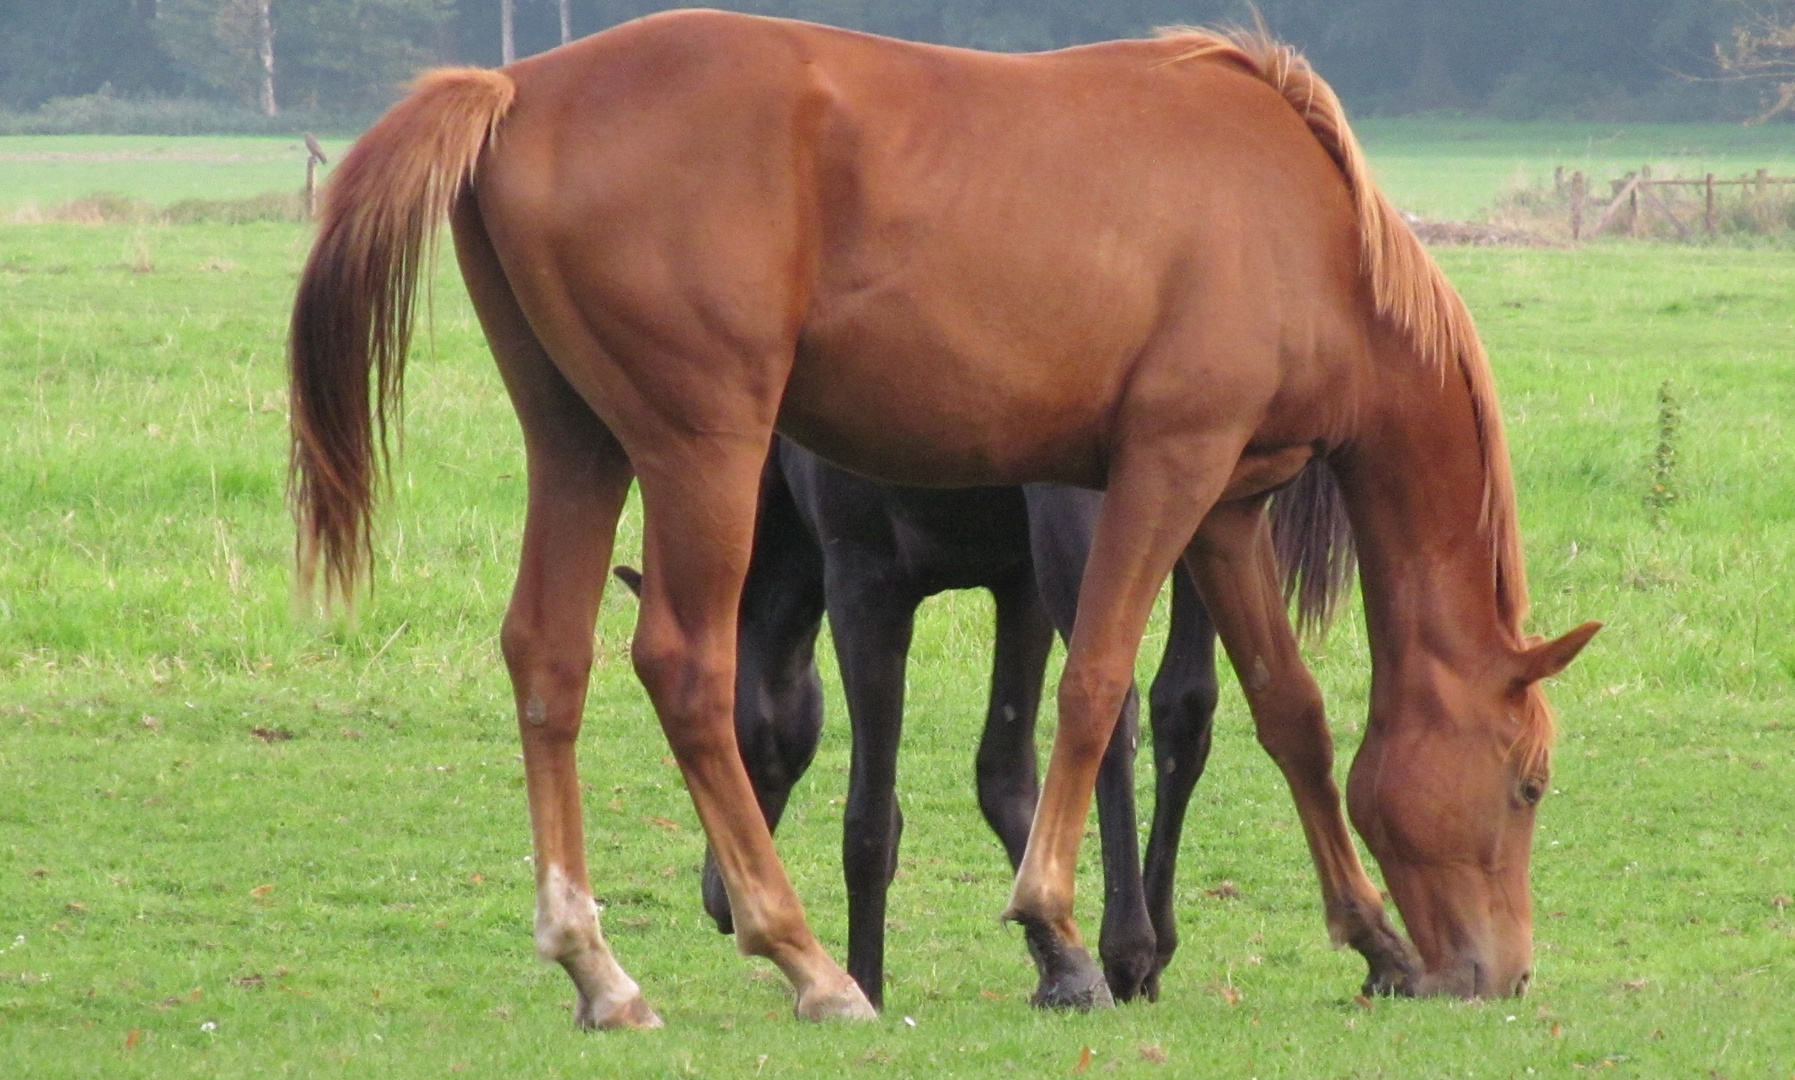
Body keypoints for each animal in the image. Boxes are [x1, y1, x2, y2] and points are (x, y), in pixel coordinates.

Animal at [617, 432, 1234, 1004]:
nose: (718, 901)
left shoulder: (863, 585)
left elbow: (870, 821)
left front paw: (863, 984)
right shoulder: (1019, 583)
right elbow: (1005, 779)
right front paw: (1062, 963)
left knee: (1113, 704)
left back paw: (1129, 947)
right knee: (1166, 707)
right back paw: (1148, 944)